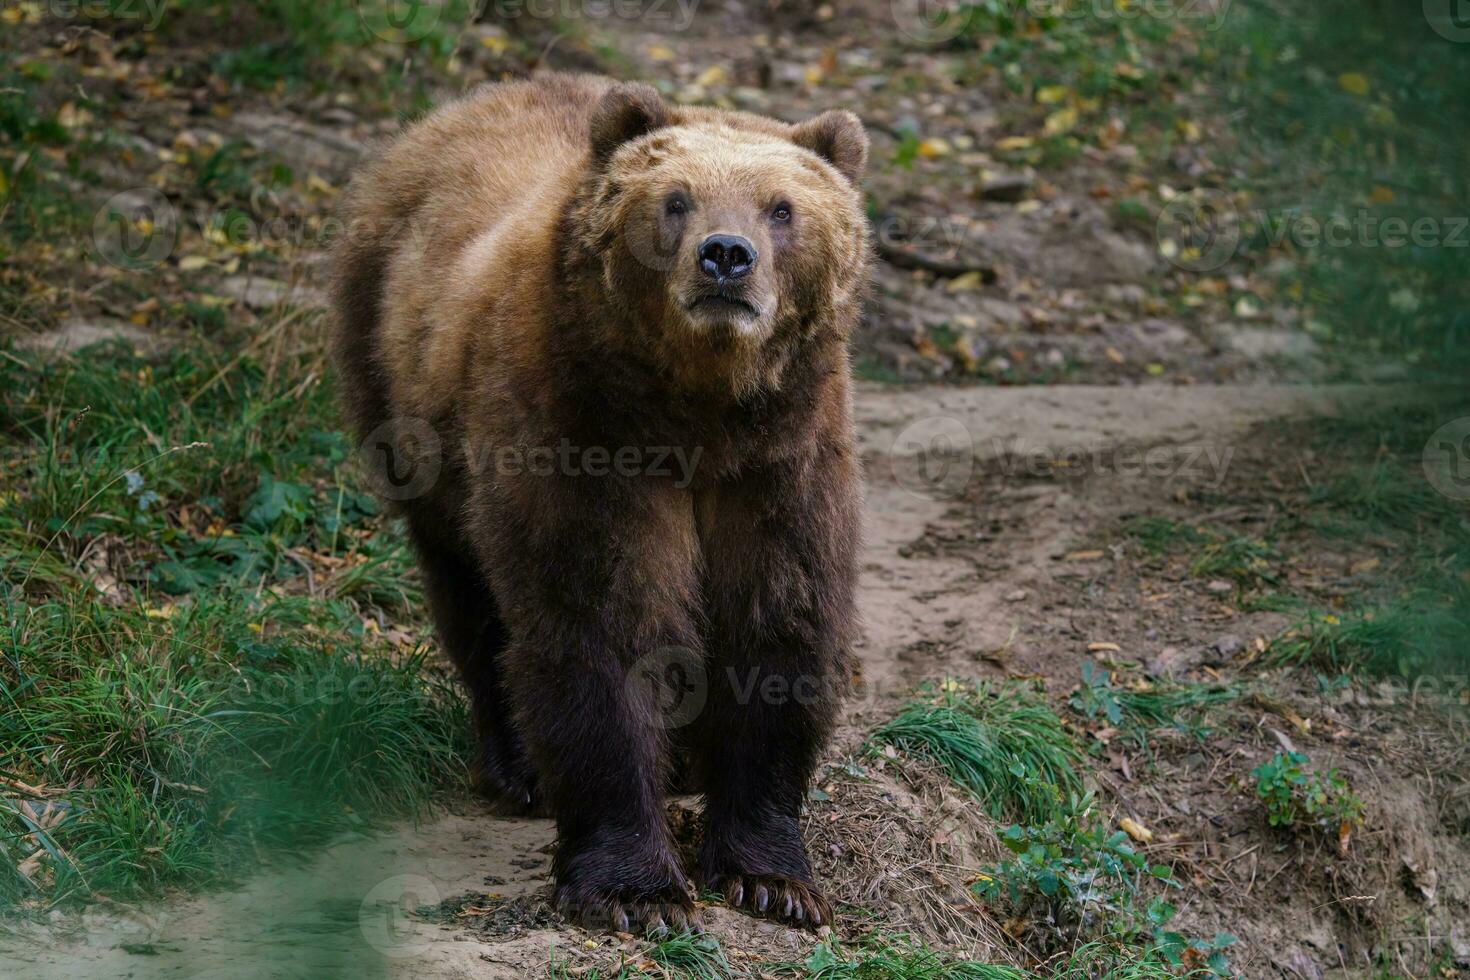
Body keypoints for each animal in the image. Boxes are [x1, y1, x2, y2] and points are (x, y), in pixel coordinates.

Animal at [327, 74, 864, 934]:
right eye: (676, 199)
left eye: (782, 207)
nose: (726, 256)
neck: (700, 412)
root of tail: (463, 106)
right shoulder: (585, 435)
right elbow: (600, 621)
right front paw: (637, 889)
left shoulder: (783, 462)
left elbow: (779, 621)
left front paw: (774, 879)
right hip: (405, 403)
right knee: (473, 598)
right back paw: (516, 763)